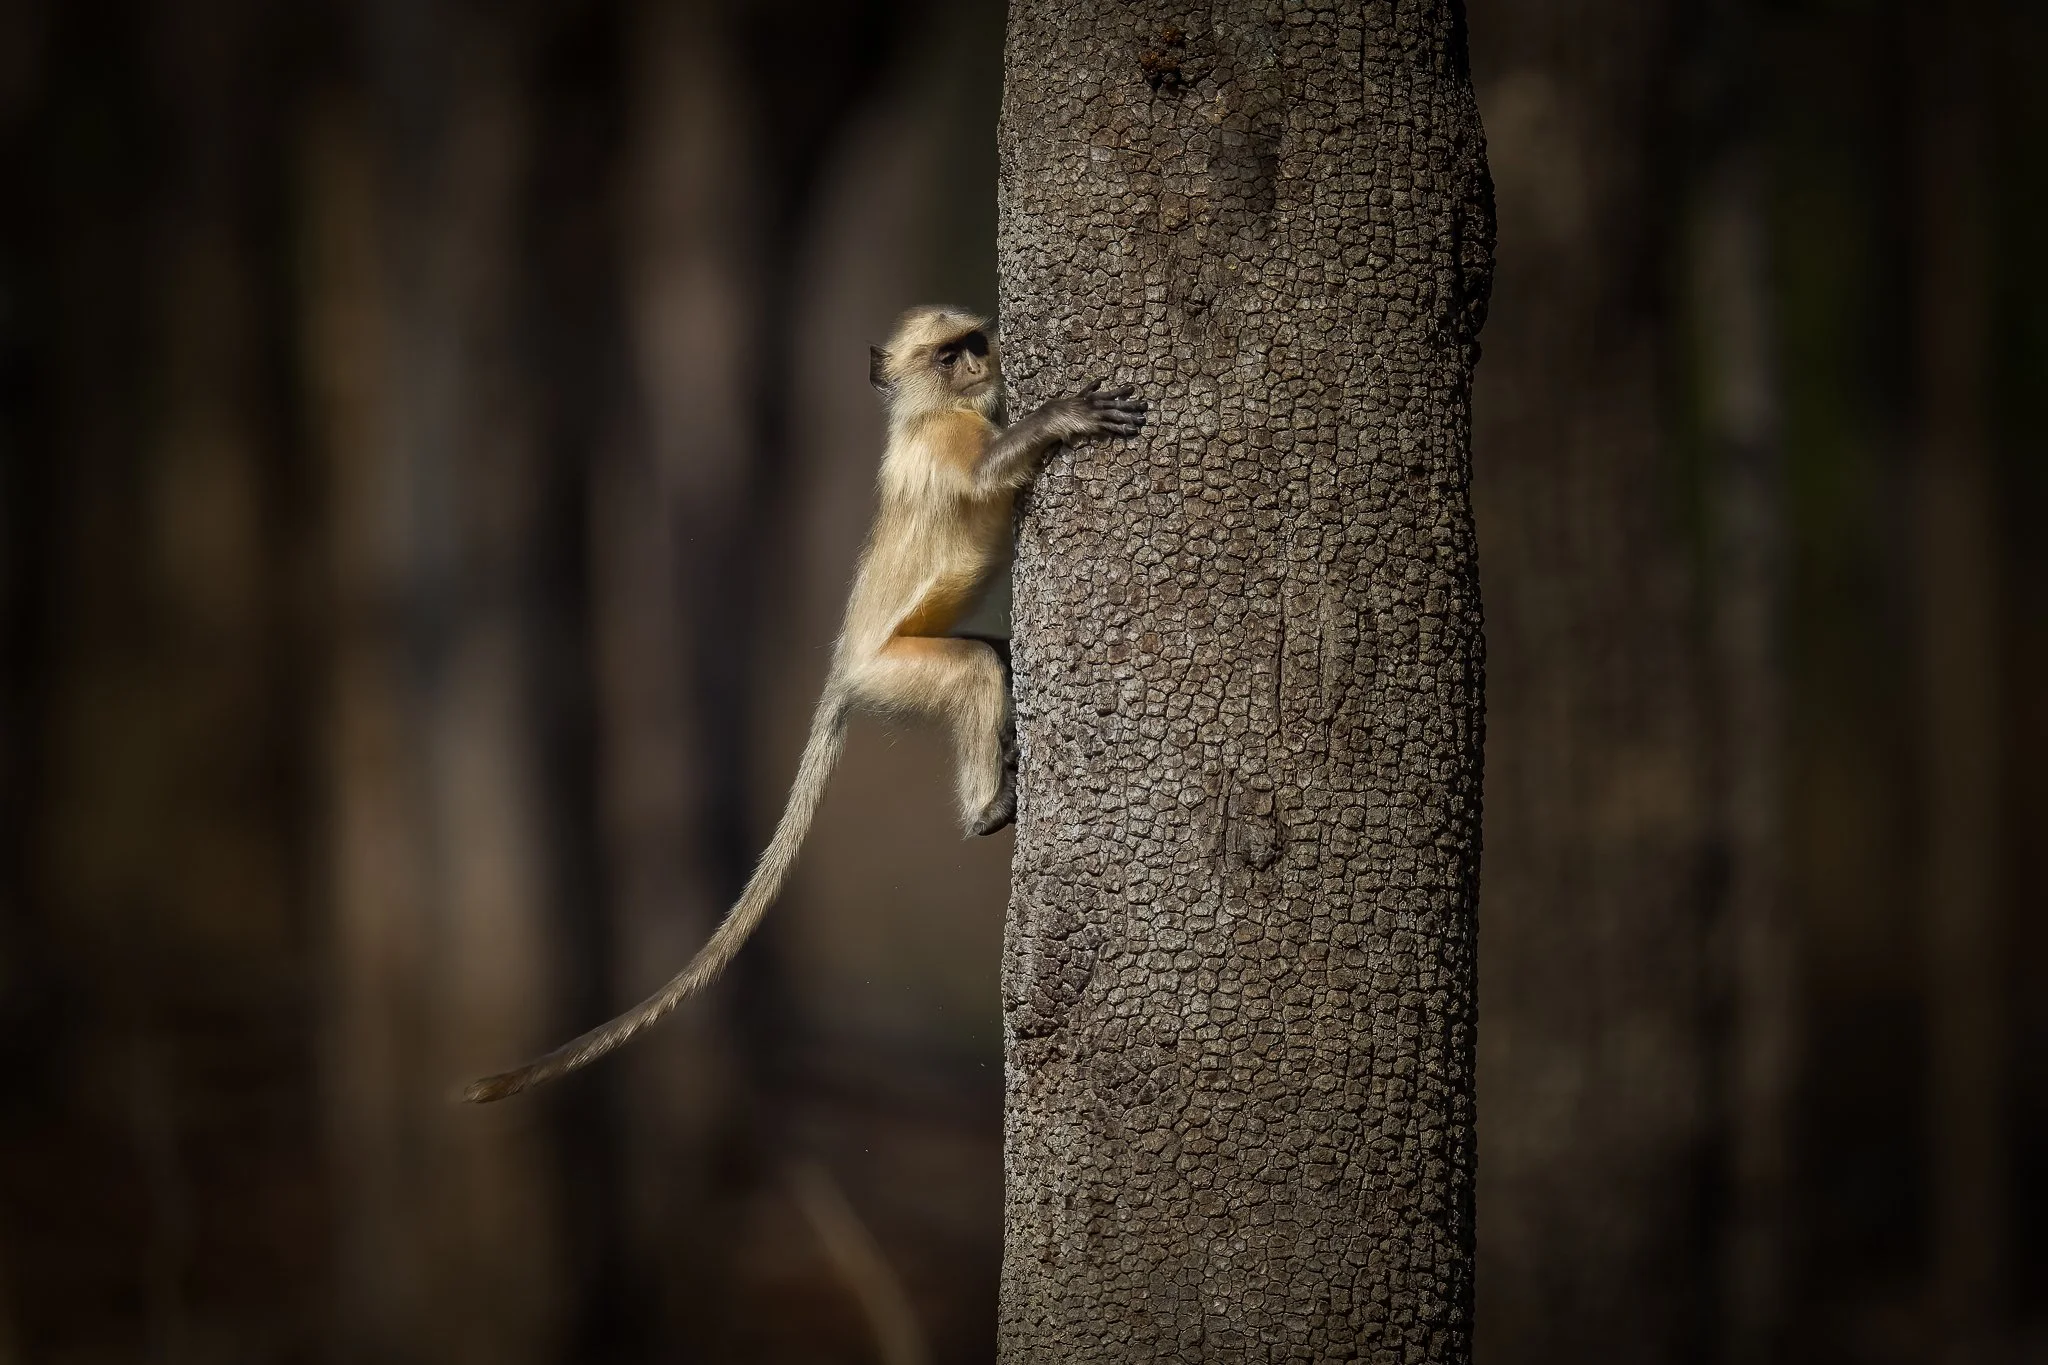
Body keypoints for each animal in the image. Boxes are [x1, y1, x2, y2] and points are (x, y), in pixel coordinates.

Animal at [462, 306, 1146, 1102]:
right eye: (948, 357)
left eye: (974, 343)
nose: (979, 364)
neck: (928, 412)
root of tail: (843, 668)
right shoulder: (947, 439)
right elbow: (984, 473)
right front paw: (1061, 416)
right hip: (891, 672)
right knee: (978, 668)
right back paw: (986, 809)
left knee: (997, 660)